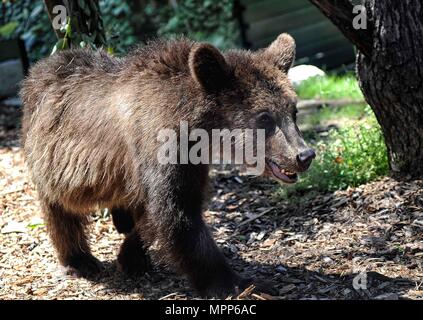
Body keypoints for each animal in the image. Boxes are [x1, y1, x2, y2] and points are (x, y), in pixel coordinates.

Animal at [21, 34, 316, 298]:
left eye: (293, 111)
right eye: (264, 117)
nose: (304, 155)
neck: (193, 126)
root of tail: (39, 69)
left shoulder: (190, 164)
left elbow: (157, 214)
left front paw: (132, 257)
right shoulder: (160, 150)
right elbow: (178, 216)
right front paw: (240, 284)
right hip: (50, 159)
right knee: (59, 209)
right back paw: (79, 260)